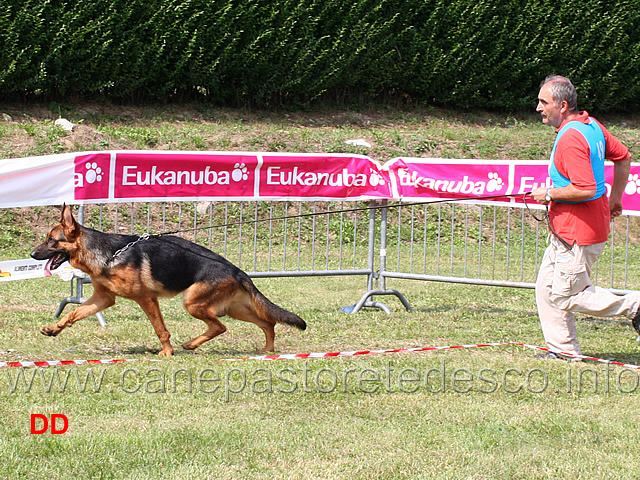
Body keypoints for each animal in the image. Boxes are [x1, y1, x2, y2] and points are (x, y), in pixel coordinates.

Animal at [31, 204, 306, 354]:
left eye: (51, 241)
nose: (32, 254)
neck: (109, 254)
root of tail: (237, 270)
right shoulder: (103, 299)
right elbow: (72, 314)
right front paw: (54, 328)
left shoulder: (146, 299)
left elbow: (160, 329)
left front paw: (166, 352)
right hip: (233, 308)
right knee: (266, 323)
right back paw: (267, 350)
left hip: (193, 302)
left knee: (220, 326)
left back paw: (191, 345)